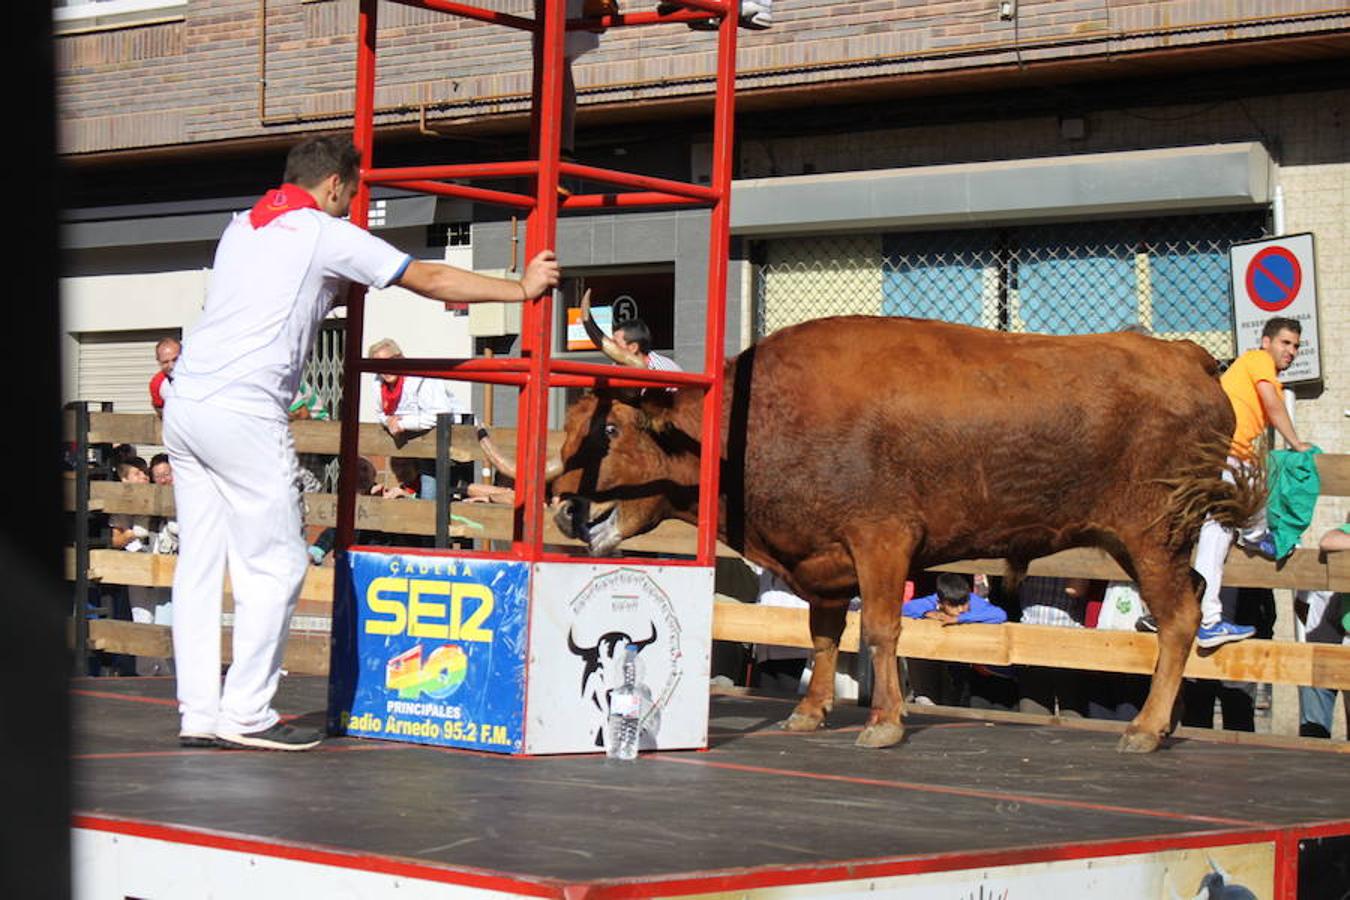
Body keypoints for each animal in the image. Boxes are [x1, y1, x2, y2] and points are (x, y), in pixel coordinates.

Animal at [548, 317, 1263, 755]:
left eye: (610, 431)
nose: (563, 509)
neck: (760, 417)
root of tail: (1182, 355)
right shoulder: (824, 561)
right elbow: (823, 636)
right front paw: (810, 711)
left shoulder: (883, 539)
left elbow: (881, 630)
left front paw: (885, 721)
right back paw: (1163, 723)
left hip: (1153, 534)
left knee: (1180, 619)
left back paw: (1145, 726)